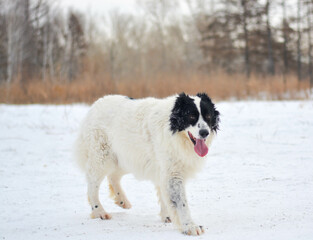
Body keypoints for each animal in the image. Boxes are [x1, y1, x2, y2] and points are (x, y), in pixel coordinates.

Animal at [74, 93, 219, 235]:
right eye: (191, 116)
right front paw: (190, 226)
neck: (174, 131)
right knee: (92, 185)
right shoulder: (173, 174)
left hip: (126, 157)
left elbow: (165, 195)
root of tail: (96, 104)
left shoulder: (165, 170)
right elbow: (181, 203)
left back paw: (122, 200)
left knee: (113, 176)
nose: (204, 132)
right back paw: (99, 211)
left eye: (208, 116)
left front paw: (167, 216)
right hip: (102, 158)